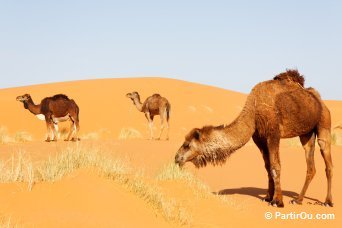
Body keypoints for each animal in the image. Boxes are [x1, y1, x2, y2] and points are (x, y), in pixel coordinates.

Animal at [175, 70, 332, 208]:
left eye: (187, 144)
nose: (177, 157)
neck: (254, 110)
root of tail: (320, 100)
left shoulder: (273, 134)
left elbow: (275, 166)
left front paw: (277, 201)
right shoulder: (259, 139)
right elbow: (267, 167)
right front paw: (268, 197)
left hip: (324, 122)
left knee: (327, 161)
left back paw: (328, 202)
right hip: (306, 134)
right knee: (310, 165)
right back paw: (298, 200)